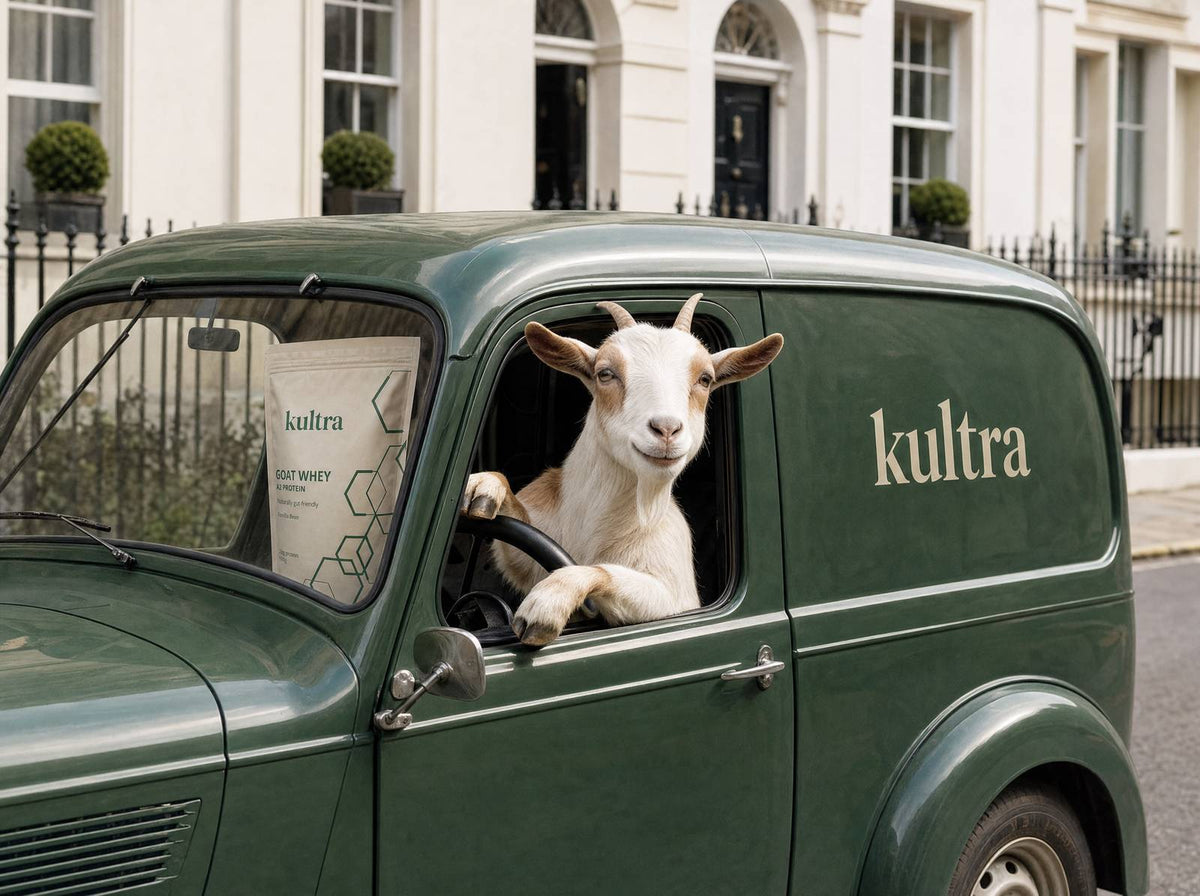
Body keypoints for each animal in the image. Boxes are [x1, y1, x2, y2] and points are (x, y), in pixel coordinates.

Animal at [460, 294, 783, 646]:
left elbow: (604, 572)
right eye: (605, 373)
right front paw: (479, 489)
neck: (592, 527)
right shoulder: (532, 546)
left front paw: (545, 605)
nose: (666, 429)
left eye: (705, 379)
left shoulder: (677, 599)